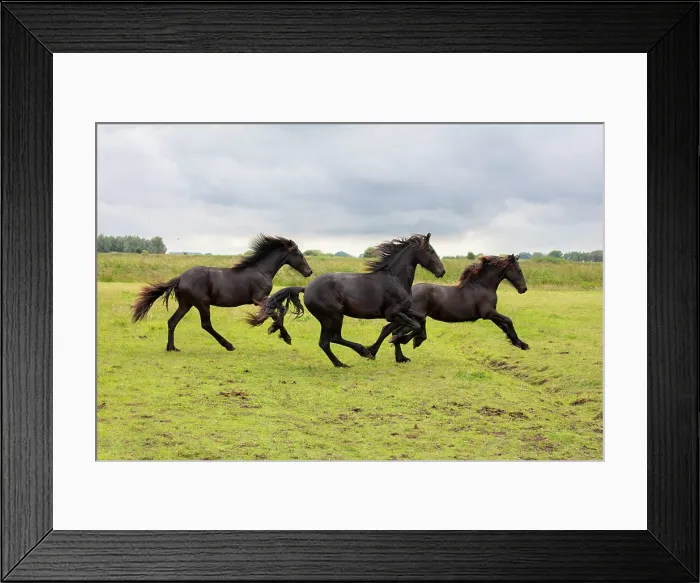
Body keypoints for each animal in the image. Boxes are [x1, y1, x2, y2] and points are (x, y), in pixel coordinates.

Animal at [130, 234, 313, 352]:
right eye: (299, 254)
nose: (309, 272)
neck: (261, 271)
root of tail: (180, 277)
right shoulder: (259, 299)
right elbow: (276, 312)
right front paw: (282, 335)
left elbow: (278, 310)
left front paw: (279, 332)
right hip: (202, 304)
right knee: (205, 325)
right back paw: (229, 345)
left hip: (186, 304)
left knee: (172, 321)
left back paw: (172, 347)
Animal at [246, 233, 446, 367]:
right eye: (430, 251)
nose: (441, 271)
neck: (395, 279)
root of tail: (306, 288)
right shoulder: (393, 313)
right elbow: (412, 325)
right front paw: (401, 341)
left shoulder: (402, 311)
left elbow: (417, 320)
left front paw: (403, 347)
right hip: (334, 315)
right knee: (333, 338)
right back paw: (359, 353)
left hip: (327, 318)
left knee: (325, 342)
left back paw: (341, 362)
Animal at [386, 254, 530, 362]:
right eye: (519, 270)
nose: (524, 289)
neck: (483, 286)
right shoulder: (488, 313)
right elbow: (508, 320)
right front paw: (521, 344)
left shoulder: (491, 315)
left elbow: (504, 326)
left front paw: (520, 343)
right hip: (412, 317)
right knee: (398, 332)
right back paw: (406, 349)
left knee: (396, 332)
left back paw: (402, 357)